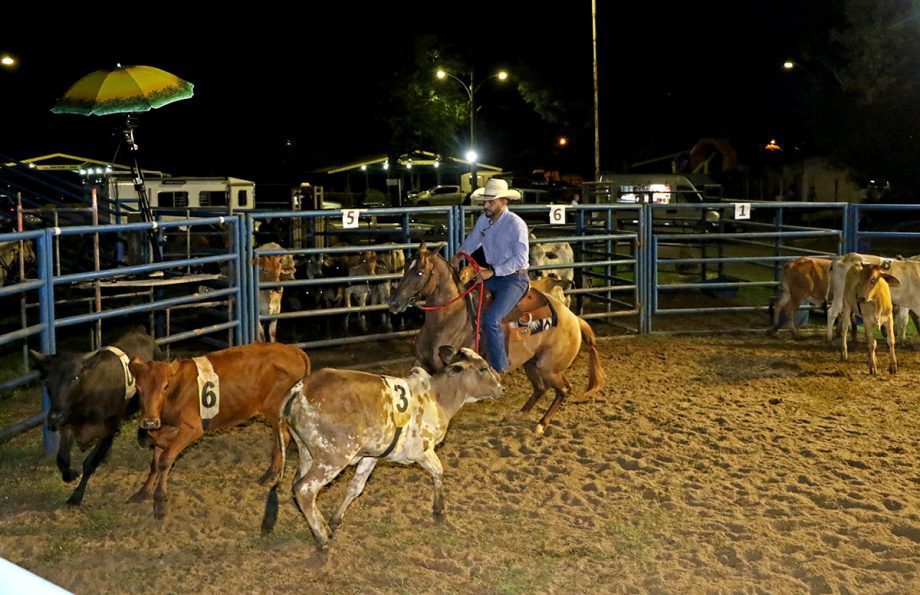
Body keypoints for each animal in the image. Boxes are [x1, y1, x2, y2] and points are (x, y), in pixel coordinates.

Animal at [29, 328, 160, 506]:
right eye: (48, 381)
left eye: (75, 377)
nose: (55, 416)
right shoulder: (69, 424)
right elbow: (62, 458)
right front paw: (71, 474)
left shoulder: (108, 428)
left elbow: (89, 462)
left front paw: (76, 496)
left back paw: (142, 437)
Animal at [128, 342, 312, 520]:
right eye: (138, 388)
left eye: (165, 386)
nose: (150, 421)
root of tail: (293, 350)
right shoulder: (161, 433)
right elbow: (155, 464)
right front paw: (143, 492)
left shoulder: (192, 428)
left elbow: (165, 460)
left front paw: (159, 502)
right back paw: (270, 473)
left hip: (277, 412)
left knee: (284, 438)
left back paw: (269, 474)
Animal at [258, 346, 504, 552]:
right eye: (483, 368)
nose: (501, 387)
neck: (437, 397)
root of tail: (300, 388)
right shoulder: (422, 451)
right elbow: (438, 471)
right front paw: (439, 511)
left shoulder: (371, 456)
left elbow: (355, 487)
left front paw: (336, 519)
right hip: (333, 457)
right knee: (305, 489)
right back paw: (321, 537)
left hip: (307, 452)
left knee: (296, 485)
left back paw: (323, 525)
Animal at [386, 242, 604, 434]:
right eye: (406, 267)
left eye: (420, 272)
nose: (393, 302)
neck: (448, 319)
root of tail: (574, 319)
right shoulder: (420, 362)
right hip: (531, 363)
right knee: (540, 388)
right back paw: (519, 414)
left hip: (550, 368)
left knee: (564, 390)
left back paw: (541, 424)